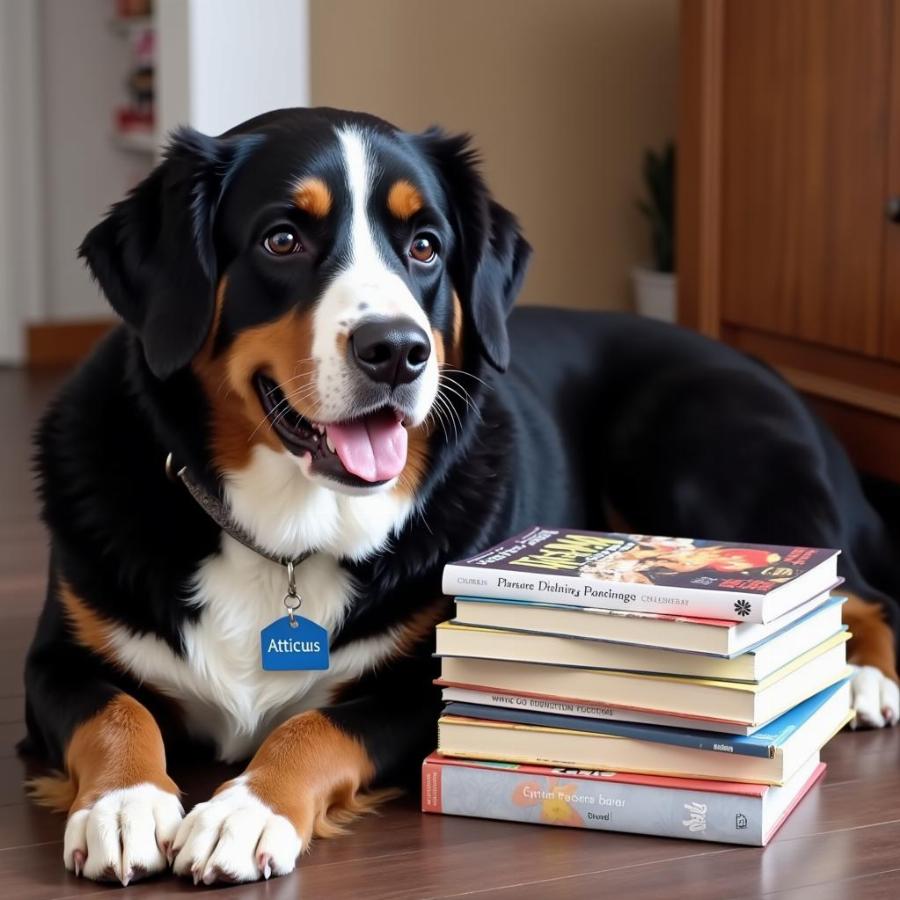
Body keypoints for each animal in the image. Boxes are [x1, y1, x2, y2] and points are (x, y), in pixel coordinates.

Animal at [21, 107, 900, 884]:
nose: (396, 350)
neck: (290, 534)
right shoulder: (58, 661)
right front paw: (126, 804)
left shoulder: (426, 684)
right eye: (282, 238)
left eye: (423, 245)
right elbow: (117, 714)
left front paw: (244, 812)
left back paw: (860, 679)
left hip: (691, 453)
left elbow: (313, 726)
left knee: (861, 590)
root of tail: (770, 372)